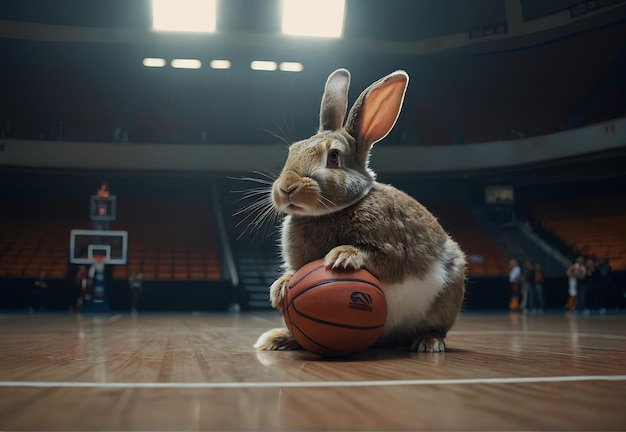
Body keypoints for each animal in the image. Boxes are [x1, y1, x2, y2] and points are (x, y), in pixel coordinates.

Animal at [252, 67, 464, 352]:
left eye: (333, 158)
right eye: (292, 151)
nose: (286, 188)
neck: (331, 212)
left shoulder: (393, 247)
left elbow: (384, 259)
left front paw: (342, 256)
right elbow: (295, 271)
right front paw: (280, 286)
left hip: (447, 296)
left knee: (434, 327)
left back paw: (428, 342)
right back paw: (276, 339)